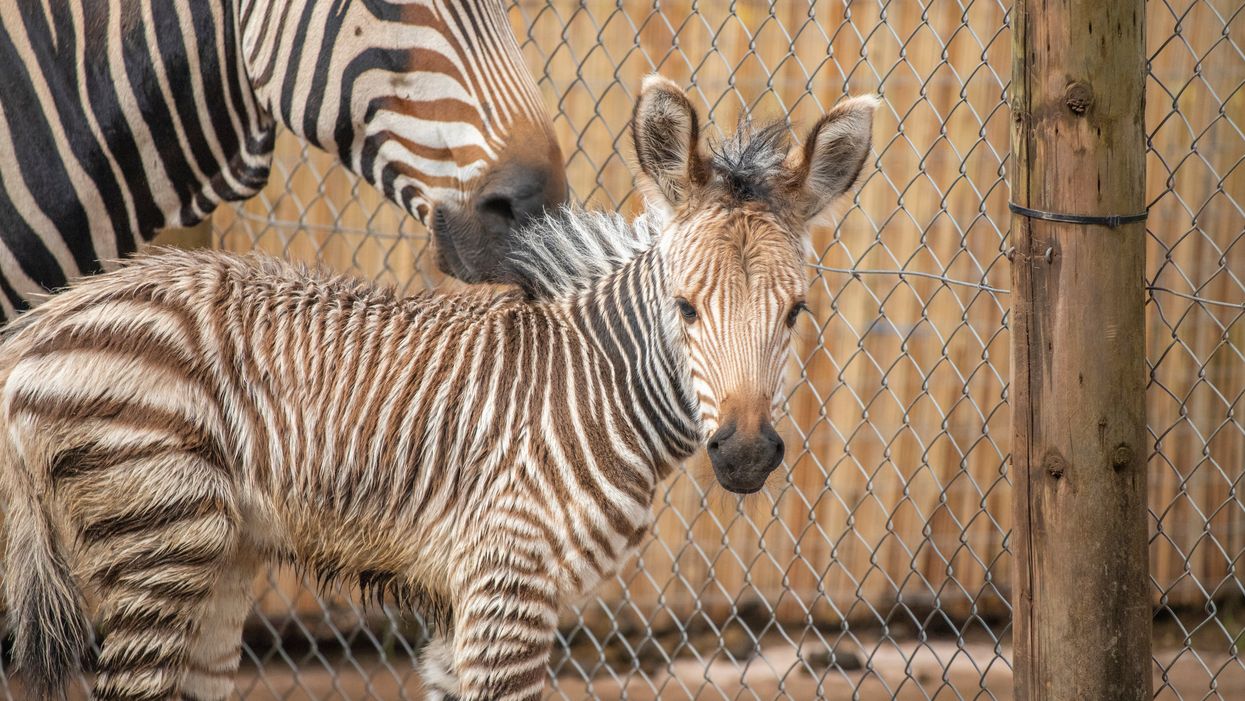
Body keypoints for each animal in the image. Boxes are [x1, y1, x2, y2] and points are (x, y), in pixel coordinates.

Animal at [0, 76, 876, 701]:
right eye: (685, 307)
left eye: (795, 311)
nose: (745, 454)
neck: (594, 383)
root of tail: (47, 323)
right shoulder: (507, 589)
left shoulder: (472, 609)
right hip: (160, 538)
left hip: (217, 556)